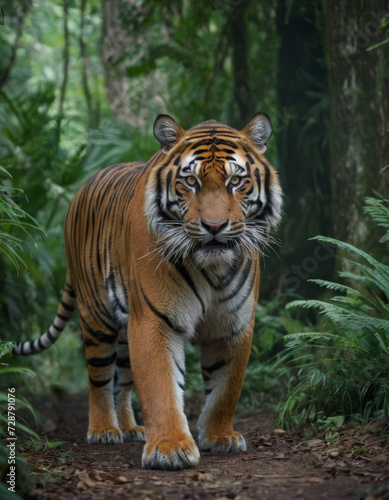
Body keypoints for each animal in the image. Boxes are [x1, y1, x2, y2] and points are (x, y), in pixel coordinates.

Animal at [13, 112, 282, 468]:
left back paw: (129, 428)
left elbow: (226, 388)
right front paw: (169, 448)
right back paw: (104, 430)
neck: (212, 268)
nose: (214, 226)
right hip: (95, 317)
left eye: (236, 181)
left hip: (126, 329)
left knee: (124, 381)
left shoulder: (233, 324)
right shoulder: (155, 320)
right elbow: (161, 386)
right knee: (99, 378)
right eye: (191, 181)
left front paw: (219, 436)